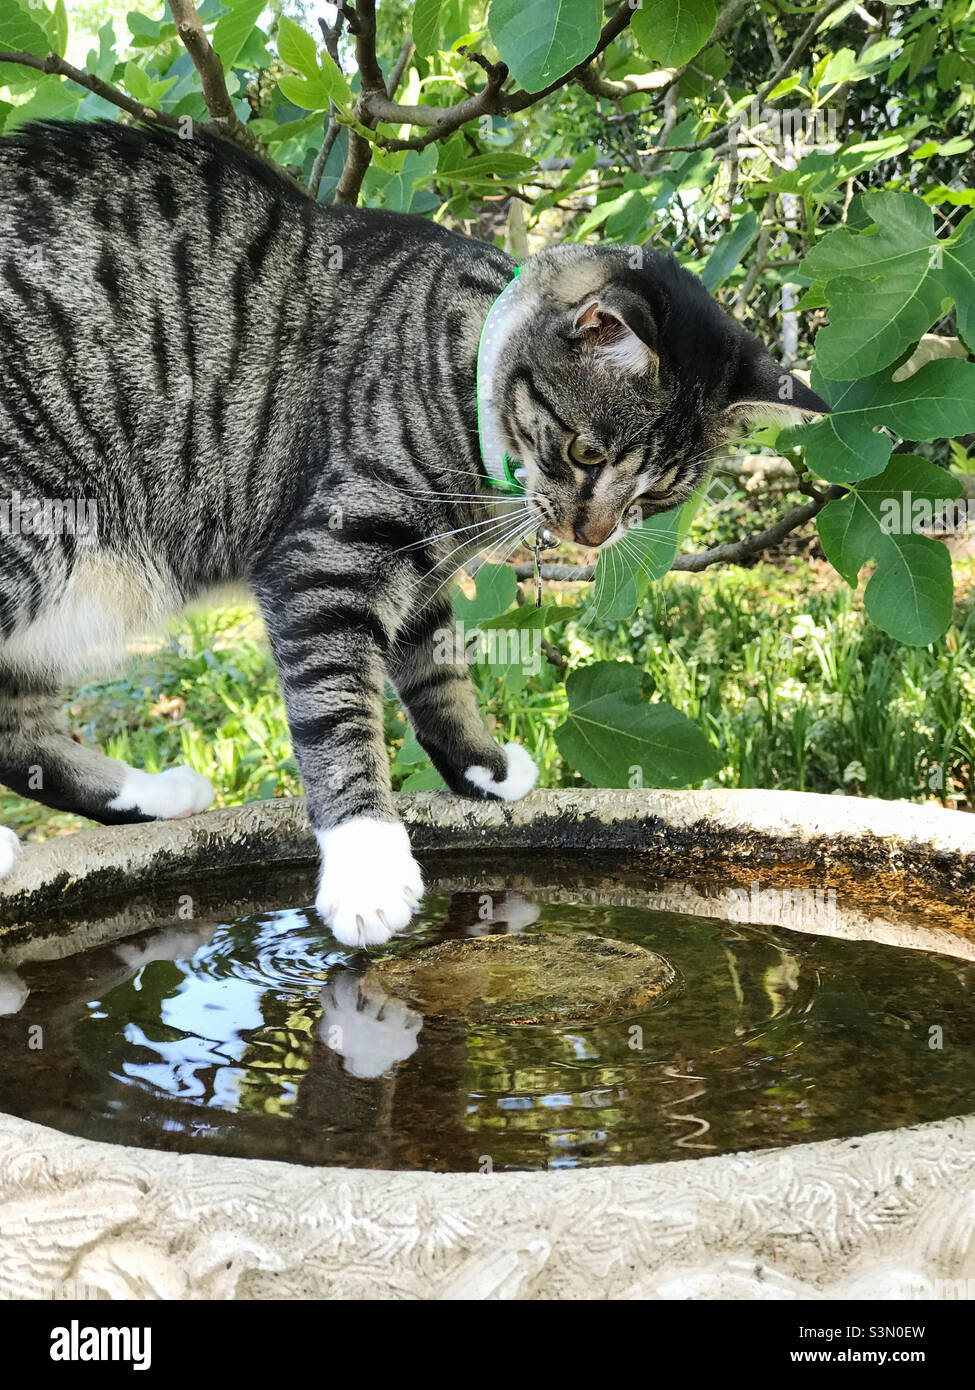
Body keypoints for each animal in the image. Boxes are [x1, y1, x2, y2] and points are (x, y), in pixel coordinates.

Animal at [0, 122, 823, 945]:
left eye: (655, 494)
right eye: (587, 453)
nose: (590, 536)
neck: (458, 372)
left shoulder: (417, 573)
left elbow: (439, 673)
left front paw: (483, 768)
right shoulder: (326, 560)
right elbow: (340, 717)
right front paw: (367, 864)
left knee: (21, 735)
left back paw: (153, 794)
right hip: (29, 537)